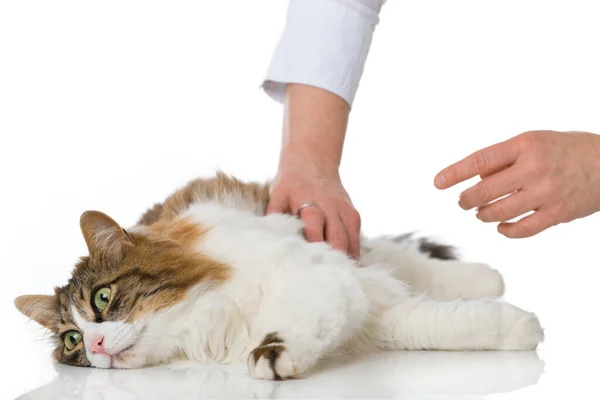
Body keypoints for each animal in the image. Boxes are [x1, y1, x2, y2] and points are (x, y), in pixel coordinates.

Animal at [15, 173, 544, 382]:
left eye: (103, 299)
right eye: (71, 341)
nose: (96, 345)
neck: (200, 325)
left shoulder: (318, 278)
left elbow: (292, 324)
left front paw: (273, 357)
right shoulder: (365, 309)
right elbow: (442, 324)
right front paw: (524, 329)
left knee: (407, 260)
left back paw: (488, 275)